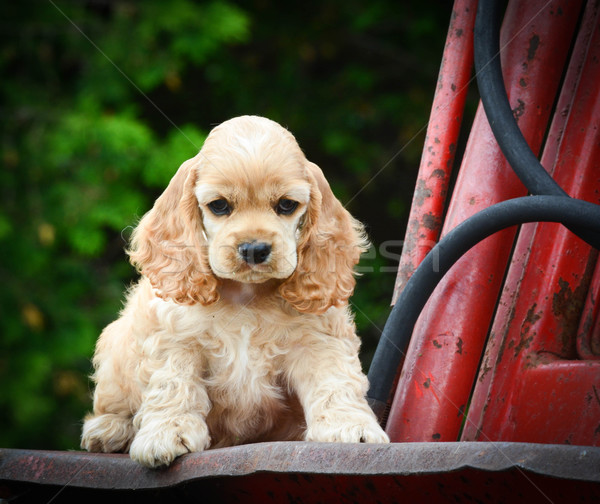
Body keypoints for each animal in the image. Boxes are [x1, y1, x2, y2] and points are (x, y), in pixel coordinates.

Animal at [81, 115, 390, 468]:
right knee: (113, 402)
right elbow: (173, 384)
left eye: (286, 205)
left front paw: (351, 428)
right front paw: (167, 434)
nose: (254, 249)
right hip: (116, 345)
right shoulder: (174, 339)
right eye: (219, 205)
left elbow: (335, 381)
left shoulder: (319, 338)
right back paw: (109, 430)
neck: (247, 295)